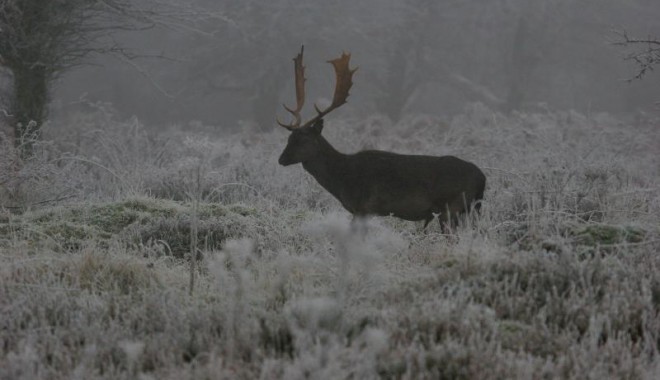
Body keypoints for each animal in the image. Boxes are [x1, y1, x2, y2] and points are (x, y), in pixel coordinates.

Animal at [276, 47, 488, 232]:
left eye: (303, 139)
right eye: (289, 138)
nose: (281, 159)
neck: (342, 179)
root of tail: (482, 178)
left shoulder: (363, 207)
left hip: (451, 207)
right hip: (469, 210)